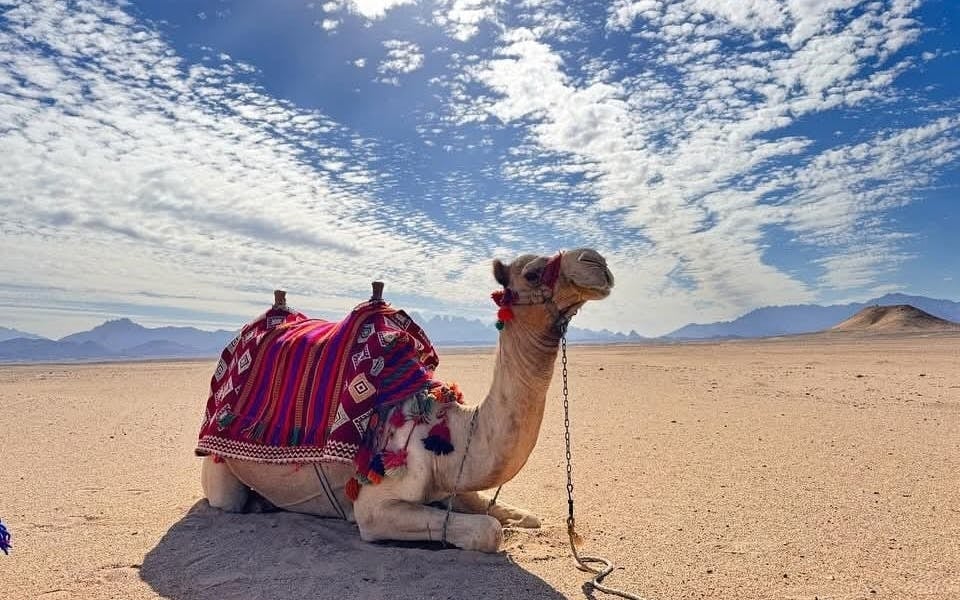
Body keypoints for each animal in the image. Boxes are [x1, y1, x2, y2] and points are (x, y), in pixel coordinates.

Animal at [200, 248, 614, 552]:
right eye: (531, 273)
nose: (597, 262)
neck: (445, 431)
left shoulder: (454, 482)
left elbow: (514, 513)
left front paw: (523, 517)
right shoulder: (374, 508)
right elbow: (487, 530)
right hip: (219, 471)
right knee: (225, 499)